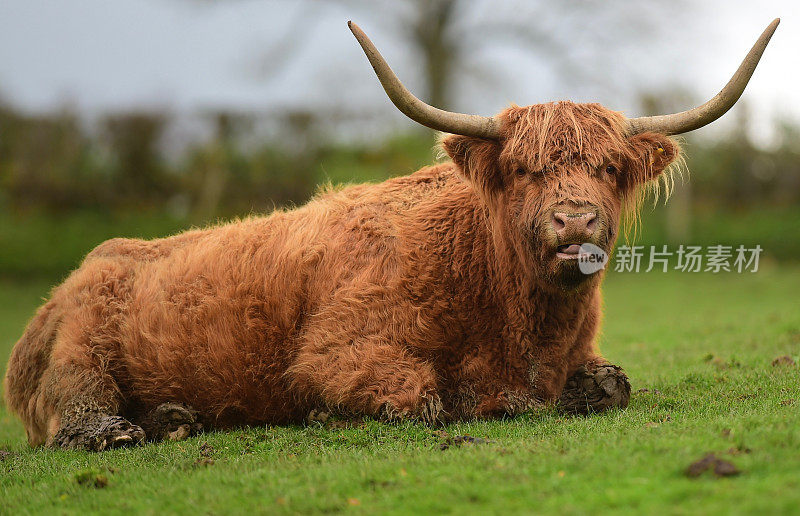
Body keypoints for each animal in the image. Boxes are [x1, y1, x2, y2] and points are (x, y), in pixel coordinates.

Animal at [1, 20, 776, 450]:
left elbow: (614, 385)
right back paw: (124, 429)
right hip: (80, 354)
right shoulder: (334, 354)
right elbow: (423, 397)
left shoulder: (582, 357)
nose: (576, 220)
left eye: (610, 169)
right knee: (79, 407)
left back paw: (175, 415)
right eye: (524, 169)